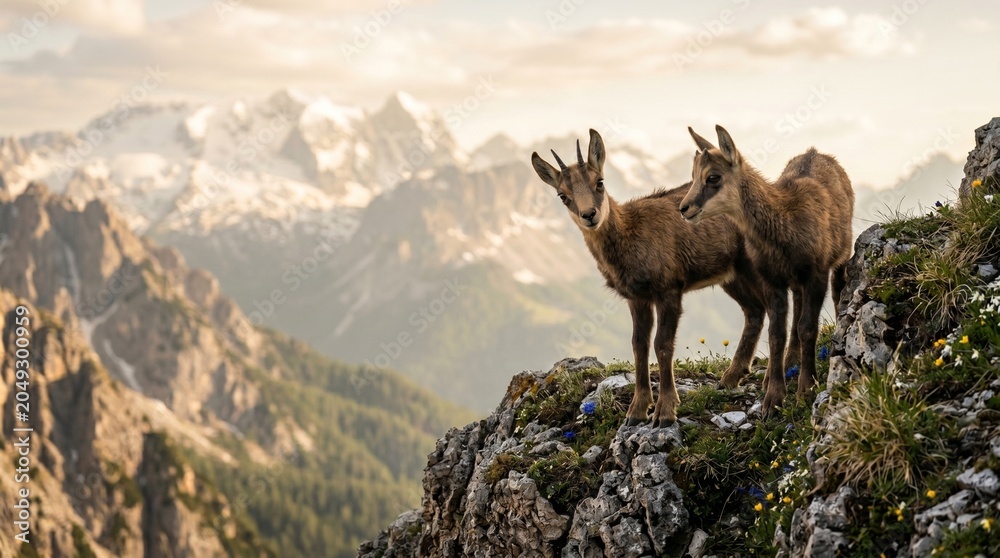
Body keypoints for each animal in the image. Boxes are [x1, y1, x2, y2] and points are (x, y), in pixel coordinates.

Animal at [531, 129, 767, 426]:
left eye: (600, 182)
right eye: (562, 195)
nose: (589, 215)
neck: (631, 234)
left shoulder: (669, 290)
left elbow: (662, 344)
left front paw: (665, 410)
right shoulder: (638, 298)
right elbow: (639, 345)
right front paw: (637, 410)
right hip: (731, 275)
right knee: (755, 310)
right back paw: (732, 377)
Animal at [679, 125, 853, 416]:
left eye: (713, 177)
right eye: (692, 176)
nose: (684, 208)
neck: (785, 224)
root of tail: (816, 152)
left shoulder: (815, 274)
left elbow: (808, 327)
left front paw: (807, 389)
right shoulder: (772, 279)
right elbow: (776, 333)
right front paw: (773, 397)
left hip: (841, 255)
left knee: (838, 291)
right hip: (793, 281)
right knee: (796, 309)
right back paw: (789, 362)